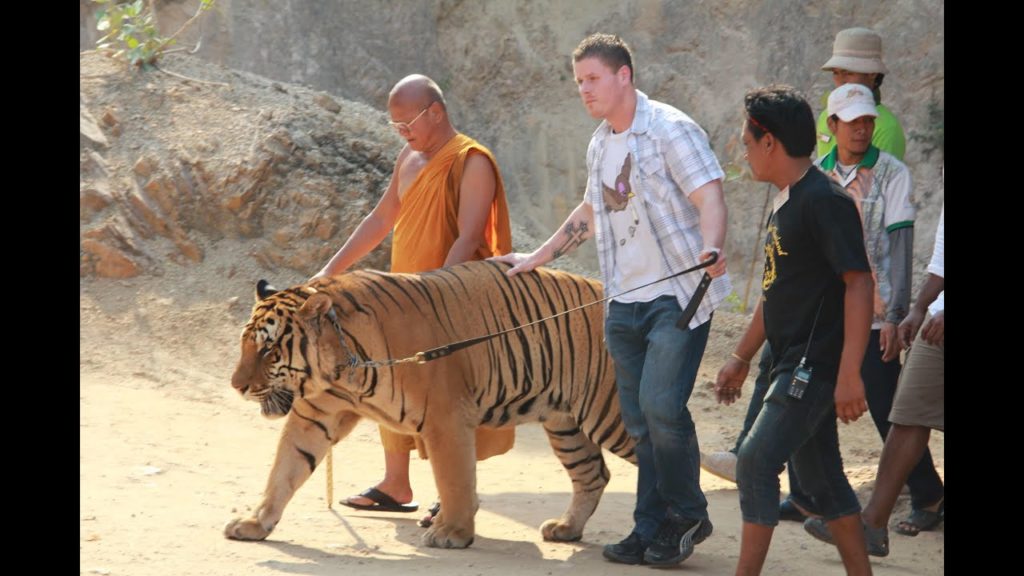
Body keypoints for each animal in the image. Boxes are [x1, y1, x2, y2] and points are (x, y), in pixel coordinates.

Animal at [224, 259, 636, 549]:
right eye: (245, 344)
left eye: (269, 350)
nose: (236, 386)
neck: (340, 367)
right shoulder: (314, 417)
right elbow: (284, 470)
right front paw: (255, 524)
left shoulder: (446, 419)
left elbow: (454, 479)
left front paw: (452, 532)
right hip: (566, 424)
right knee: (593, 474)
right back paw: (566, 528)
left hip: (610, 416)